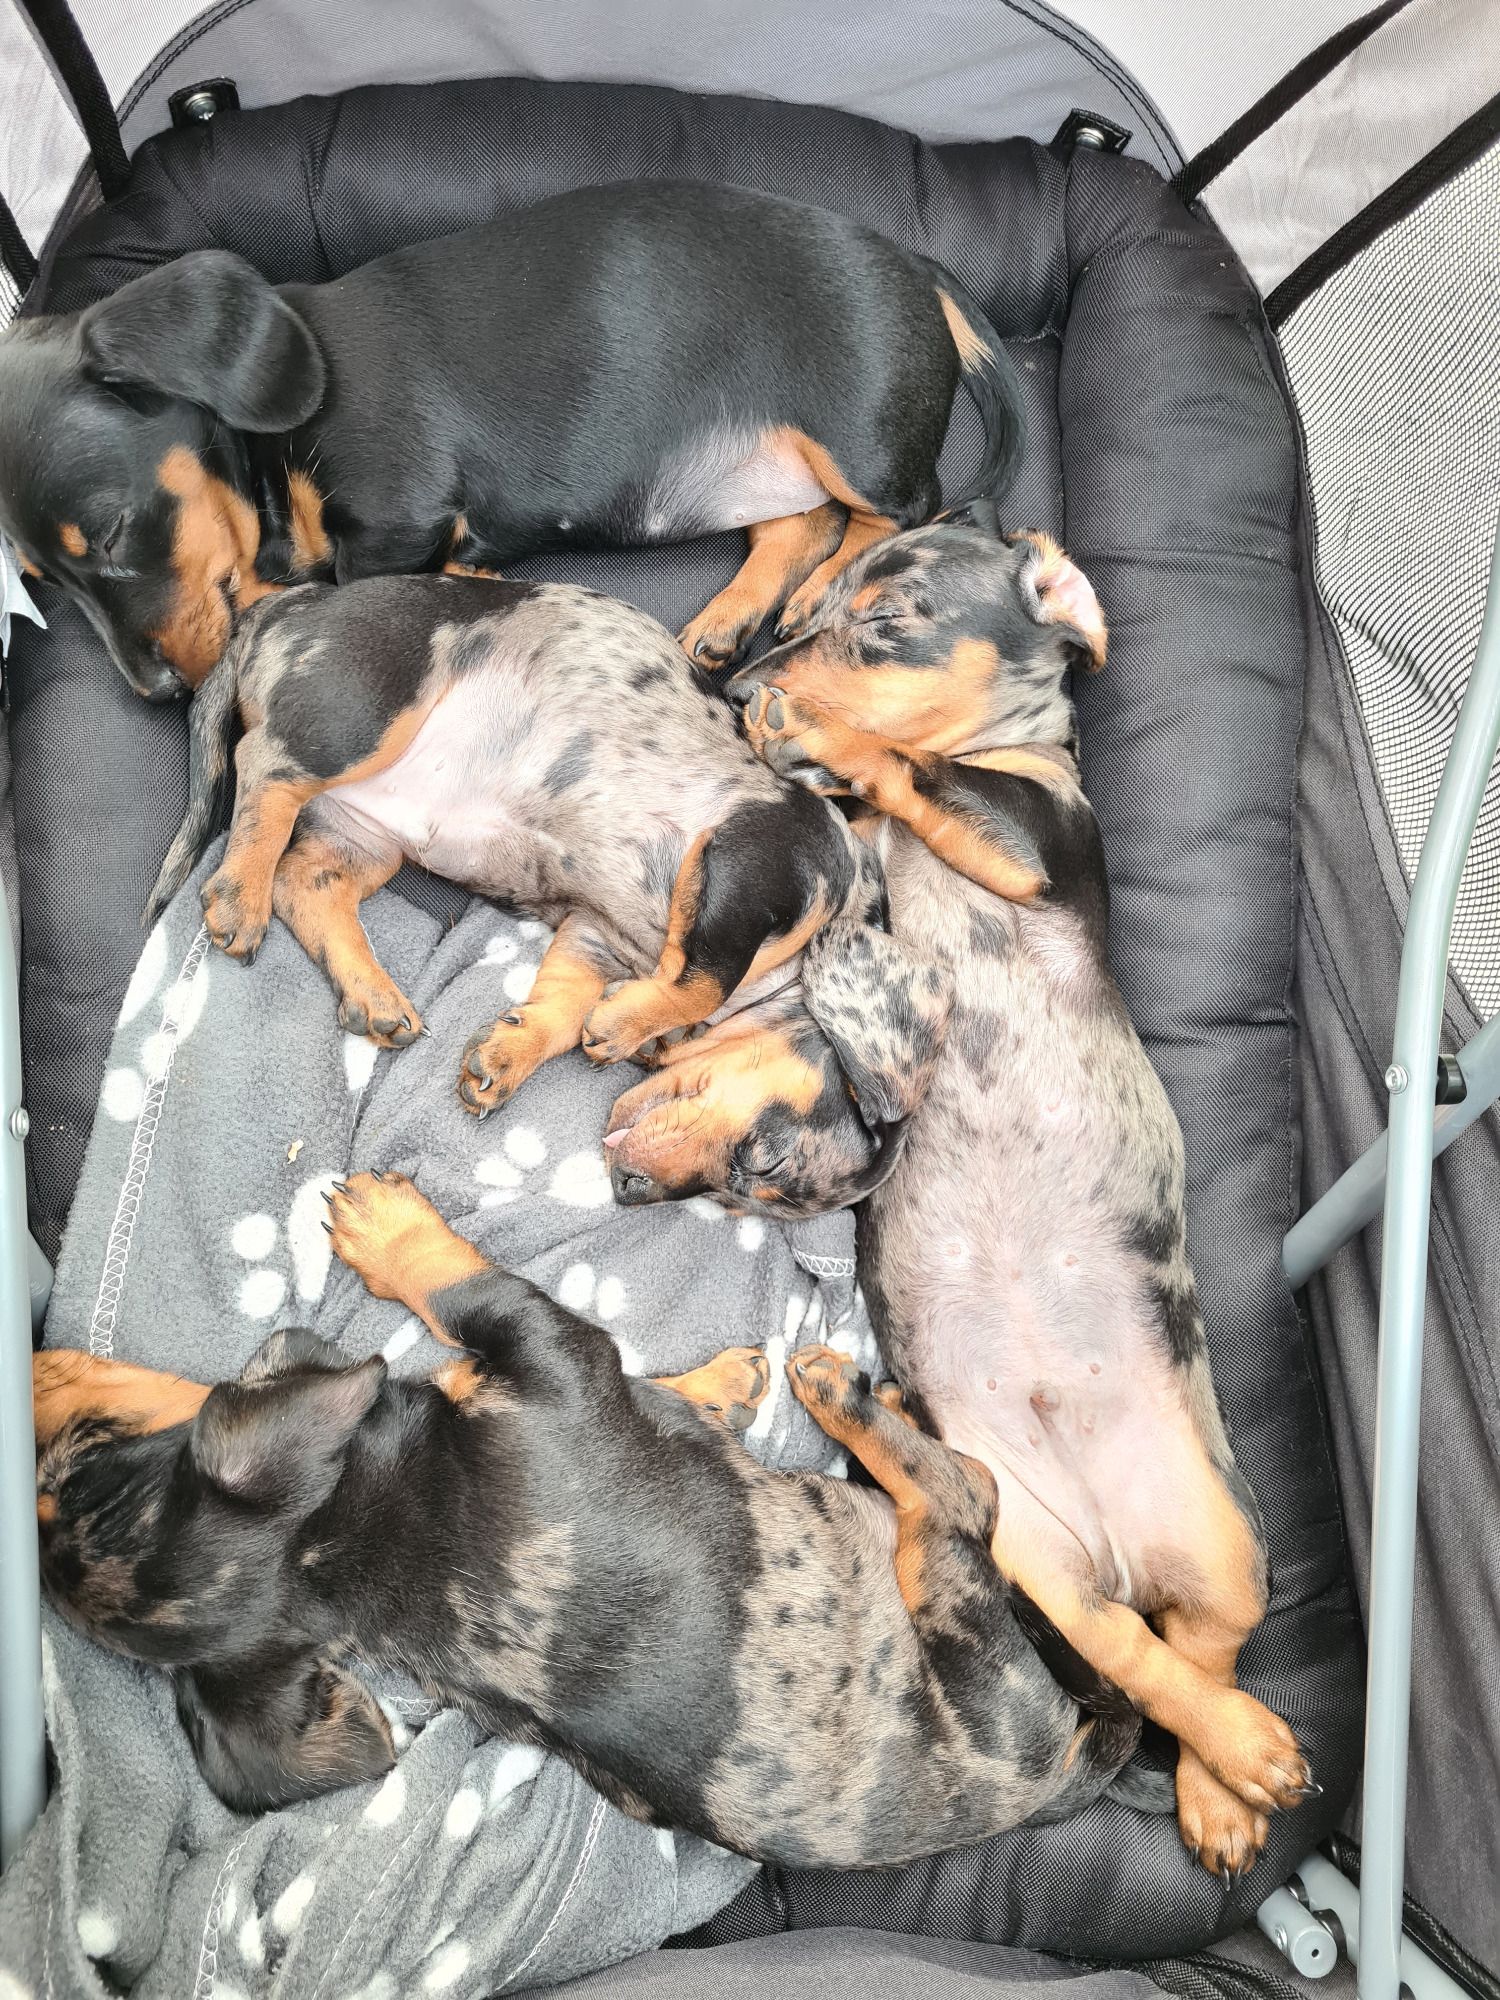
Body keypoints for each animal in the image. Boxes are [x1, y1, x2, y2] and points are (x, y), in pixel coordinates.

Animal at [0, 180, 1022, 700]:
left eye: (115, 532)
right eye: (42, 583)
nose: (158, 693)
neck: (269, 452)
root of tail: (914, 264)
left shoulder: (394, 519)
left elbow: (352, 580)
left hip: (860, 445)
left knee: (897, 517)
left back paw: (819, 594)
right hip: (776, 470)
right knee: (798, 526)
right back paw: (732, 617)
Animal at [31, 1170, 1176, 1862]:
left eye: (83, 1476)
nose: (37, 1368)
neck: (348, 1546)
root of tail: (1062, 1771)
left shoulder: (547, 1357)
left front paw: (712, 1386)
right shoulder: (553, 1346)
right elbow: (465, 1283)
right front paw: (394, 1232)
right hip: (947, 1597)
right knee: (963, 1492)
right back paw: (845, 1398)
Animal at [145, 572, 950, 1217]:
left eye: (744, 1200)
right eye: (764, 1157)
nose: (629, 1190)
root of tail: (289, 604)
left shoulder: (596, 935)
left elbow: (562, 1010)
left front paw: (508, 1056)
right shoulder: (756, 865)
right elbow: (700, 976)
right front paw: (621, 1024)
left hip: (366, 840)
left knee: (304, 882)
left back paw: (373, 997)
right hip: (365, 712)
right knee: (264, 772)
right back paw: (238, 899)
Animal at [723, 508, 1312, 1877]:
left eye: (886, 621)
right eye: (807, 609)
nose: (737, 688)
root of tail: (1114, 1539)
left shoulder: (1031, 847)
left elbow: (908, 765)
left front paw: (818, 729)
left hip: (1226, 1538)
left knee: (1198, 1645)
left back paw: (1237, 1771)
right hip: (1029, 1535)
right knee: (1127, 1644)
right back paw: (1229, 1772)